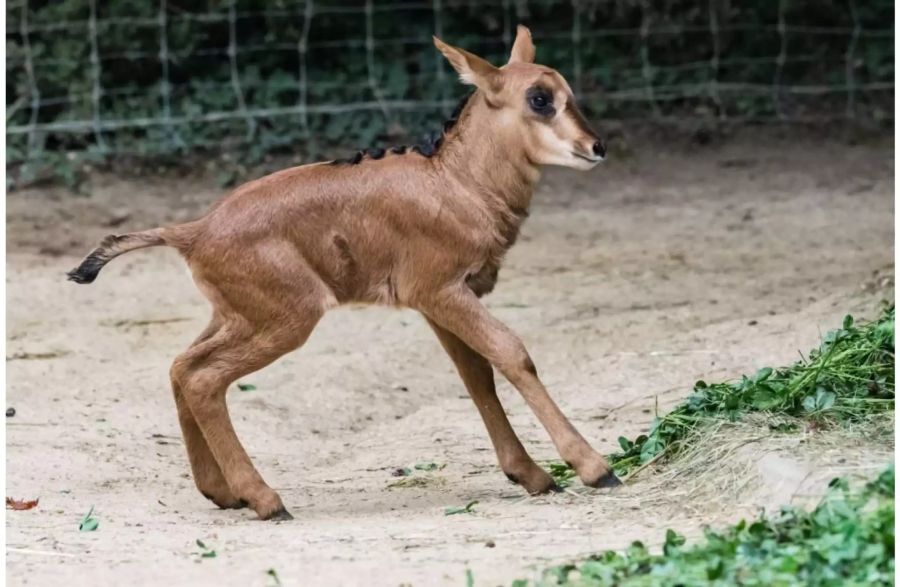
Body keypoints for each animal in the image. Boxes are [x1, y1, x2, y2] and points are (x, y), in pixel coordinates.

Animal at [68, 26, 620, 524]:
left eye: (567, 92)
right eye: (539, 98)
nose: (597, 147)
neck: (457, 181)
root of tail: (194, 232)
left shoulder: (440, 303)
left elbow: (476, 375)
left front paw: (532, 475)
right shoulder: (440, 291)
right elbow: (513, 353)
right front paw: (594, 468)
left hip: (236, 317)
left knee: (181, 366)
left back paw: (224, 493)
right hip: (285, 320)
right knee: (202, 378)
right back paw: (266, 500)